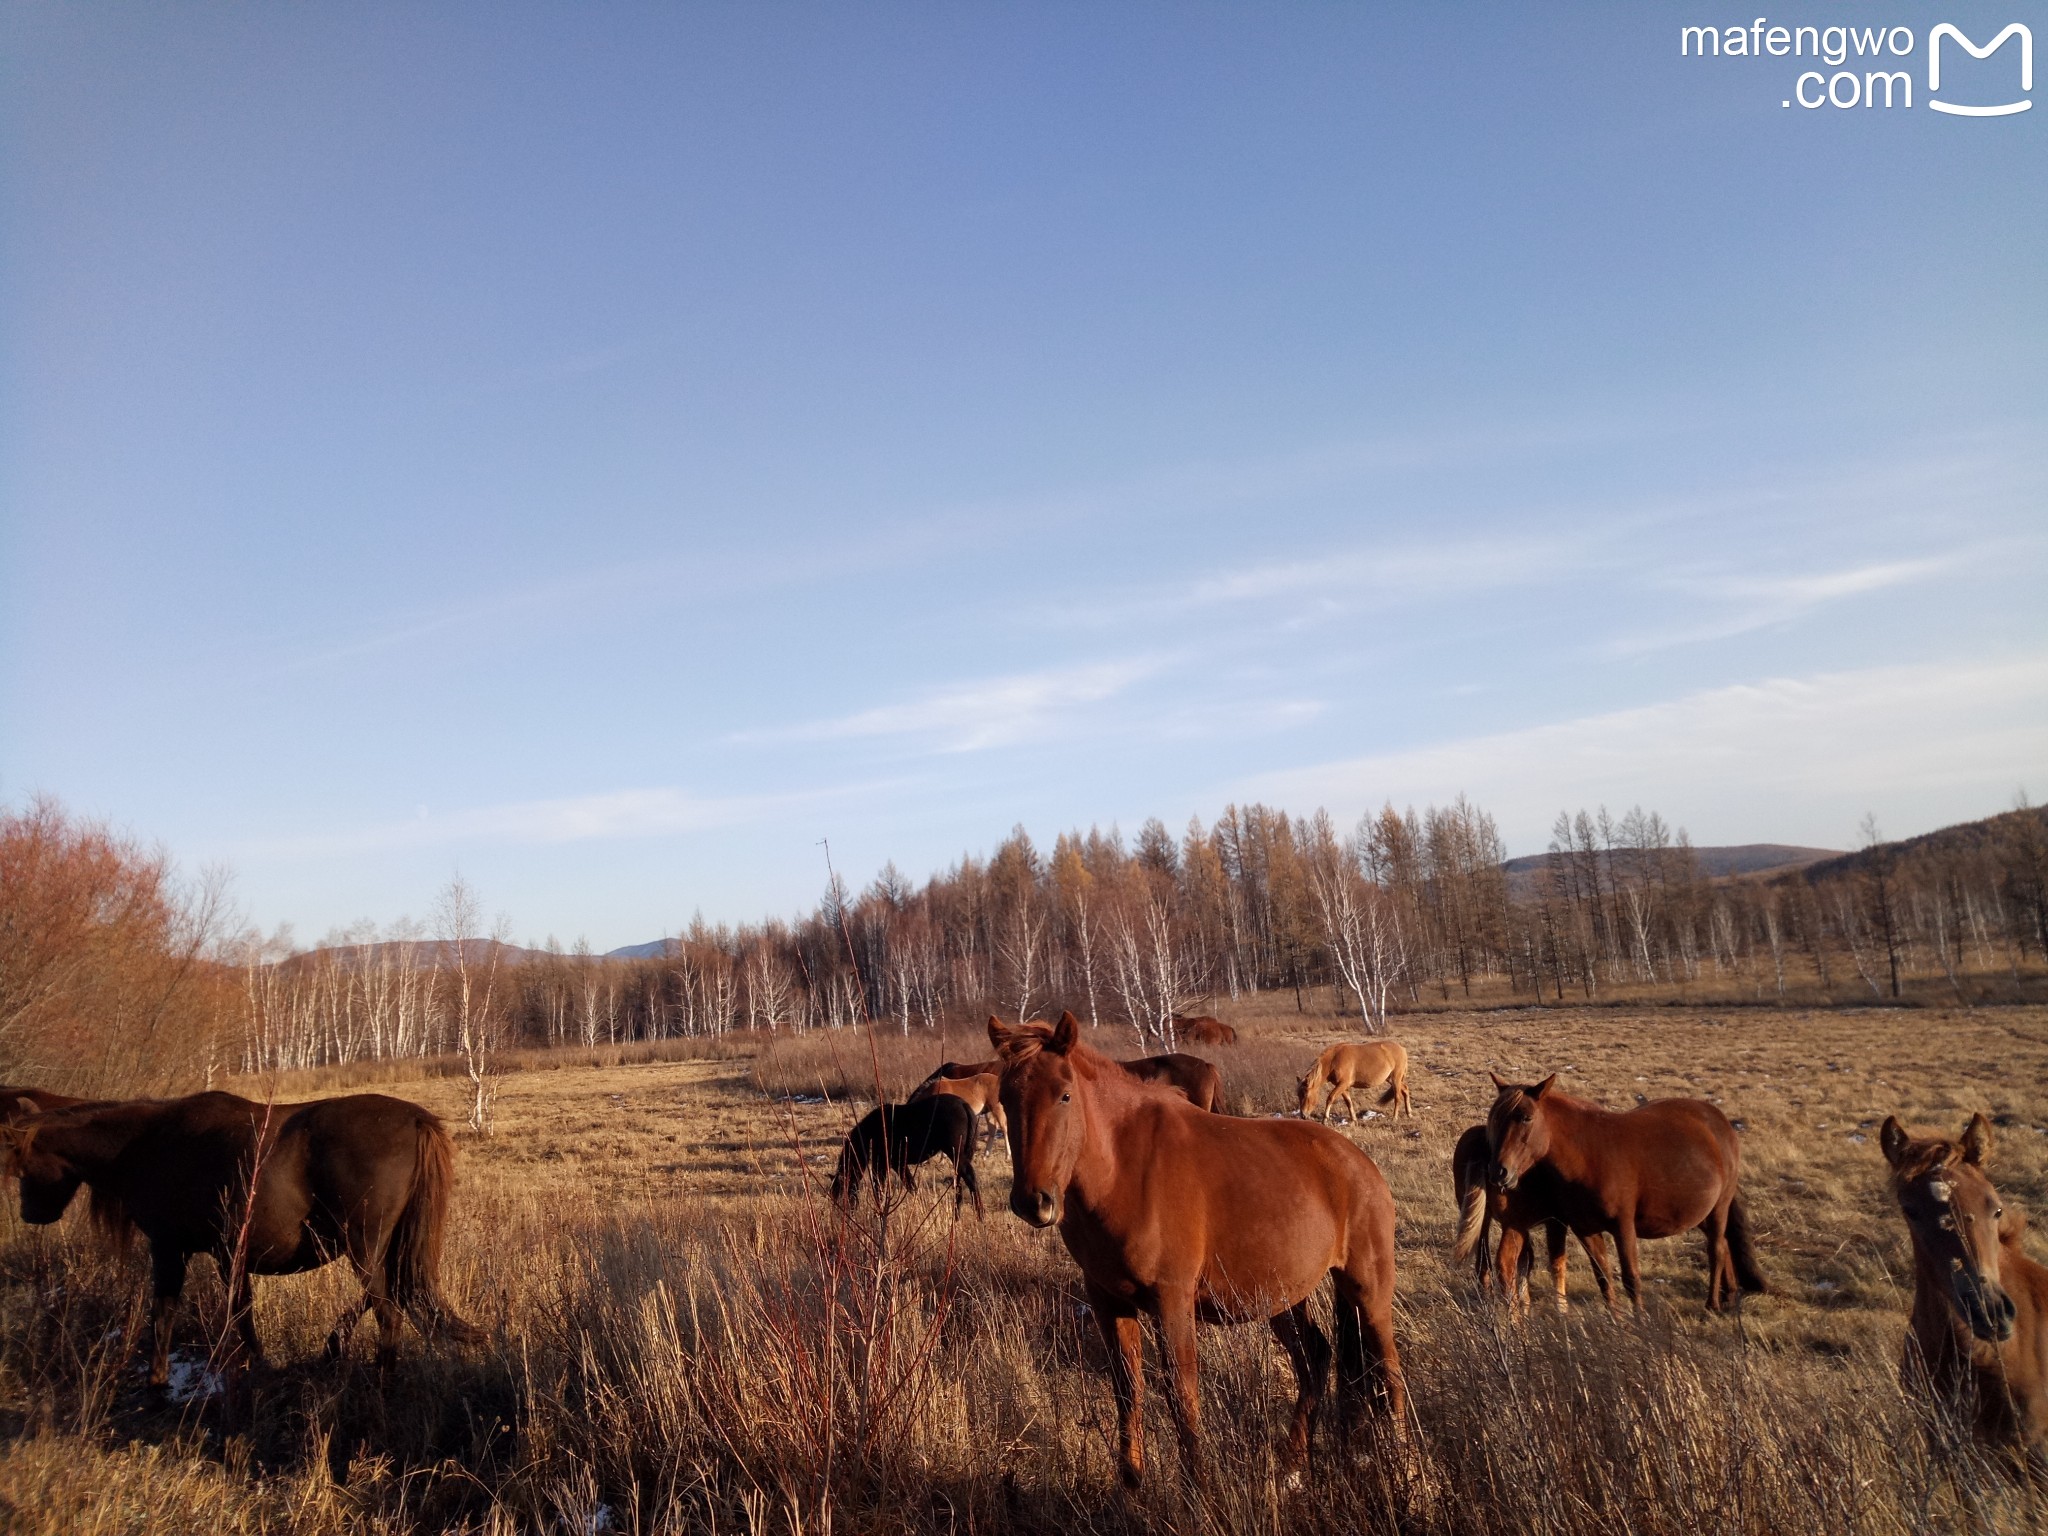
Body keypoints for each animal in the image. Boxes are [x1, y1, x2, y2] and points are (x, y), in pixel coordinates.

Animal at [0, 1097, 481, 1384]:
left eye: (21, 1165)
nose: (29, 1213)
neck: (146, 1145)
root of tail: (415, 1118)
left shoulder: (171, 1248)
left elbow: (171, 1313)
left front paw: (160, 1377)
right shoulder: (223, 1254)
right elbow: (234, 1311)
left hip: (363, 1245)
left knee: (387, 1311)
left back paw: (381, 1378)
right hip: (380, 1245)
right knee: (395, 1295)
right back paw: (336, 1349)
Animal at [835, 1097, 987, 1220]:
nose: (847, 1214)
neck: (873, 1130)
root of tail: (963, 1104)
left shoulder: (883, 1163)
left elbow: (880, 1187)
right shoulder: (897, 1164)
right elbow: (911, 1186)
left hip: (955, 1154)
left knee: (969, 1178)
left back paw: (979, 1215)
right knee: (960, 1181)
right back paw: (957, 1216)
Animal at [991, 1015, 1409, 1482]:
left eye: (1064, 1095)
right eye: (1005, 1097)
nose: (1034, 1201)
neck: (1123, 1169)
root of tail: (1361, 1164)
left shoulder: (1172, 1300)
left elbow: (1181, 1392)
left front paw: (1198, 1486)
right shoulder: (1108, 1301)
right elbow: (1127, 1389)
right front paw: (1131, 1483)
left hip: (1368, 1292)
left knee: (1390, 1372)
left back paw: (1408, 1471)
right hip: (1283, 1297)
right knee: (1315, 1358)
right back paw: (1292, 1466)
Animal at [1482, 1073, 1769, 1318]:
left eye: (1526, 1118)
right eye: (1494, 1118)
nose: (1498, 1172)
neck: (1588, 1156)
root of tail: (1719, 1119)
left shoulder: (1624, 1227)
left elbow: (1631, 1278)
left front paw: (1639, 1322)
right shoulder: (1585, 1229)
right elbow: (1603, 1278)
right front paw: (1616, 1321)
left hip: (1720, 1206)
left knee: (1717, 1248)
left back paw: (1712, 1304)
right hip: (1700, 1212)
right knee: (1724, 1244)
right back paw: (1729, 1296)